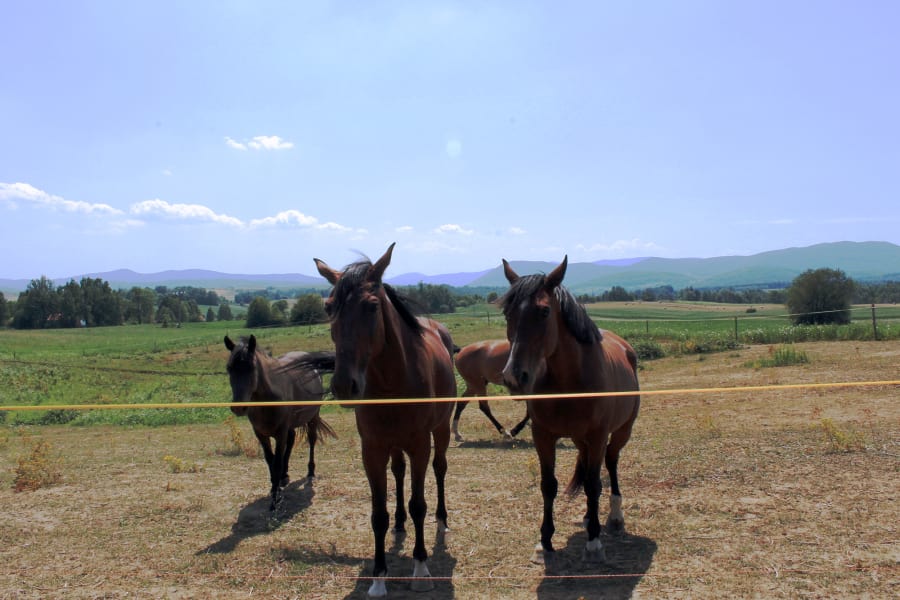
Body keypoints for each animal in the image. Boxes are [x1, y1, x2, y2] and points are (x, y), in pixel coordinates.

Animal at [223, 332, 336, 510]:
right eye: (229, 368)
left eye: (251, 368)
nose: (239, 408)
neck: (266, 400)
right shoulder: (261, 434)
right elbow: (270, 460)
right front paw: (274, 487)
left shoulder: (280, 432)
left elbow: (276, 461)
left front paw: (275, 499)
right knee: (291, 441)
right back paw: (284, 475)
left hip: (312, 418)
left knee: (311, 440)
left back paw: (310, 472)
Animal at [314, 243, 458, 596]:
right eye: (328, 307)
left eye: (372, 306)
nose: (344, 385)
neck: (394, 380)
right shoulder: (373, 449)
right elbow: (377, 513)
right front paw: (379, 576)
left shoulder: (420, 445)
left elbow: (419, 503)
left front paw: (420, 568)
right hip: (394, 446)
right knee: (399, 472)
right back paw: (400, 523)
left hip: (441, 431)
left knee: (440, 469)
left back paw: (442, 520)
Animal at [500, 258, 640, 568]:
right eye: (507, 313)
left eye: (544, 311)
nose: (515, 377)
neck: (568, 381)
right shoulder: (542, 435)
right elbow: (548, 485)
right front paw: (544, 542)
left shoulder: (599, 435)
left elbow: (593, 484)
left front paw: (594, 543)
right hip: (581, 440)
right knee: (589, 469)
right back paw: (590, 517)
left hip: (621, 432)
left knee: (610, 464)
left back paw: (614, 517)